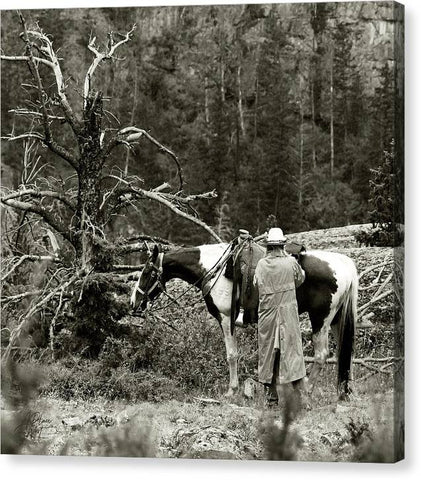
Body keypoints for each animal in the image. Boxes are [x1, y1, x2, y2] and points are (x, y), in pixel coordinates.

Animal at [130, 242, 356, 400]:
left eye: (147, 272)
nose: (133, 303)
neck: (214, 269)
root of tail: (343, 264)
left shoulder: (225, 317)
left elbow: (231, 355)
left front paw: (232, 390)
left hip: (321, 319)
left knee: (321, 355)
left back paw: (307, 389)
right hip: (336, 319)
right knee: (344, 353)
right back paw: (344, 391)